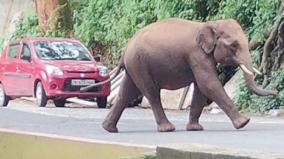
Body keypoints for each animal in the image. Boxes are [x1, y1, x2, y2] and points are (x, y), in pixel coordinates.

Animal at [81, 17, 276, 133]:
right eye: (234, 45)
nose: (275, 92)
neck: (210, 24)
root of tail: (126, 47)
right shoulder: (196, 54)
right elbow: (208, 84)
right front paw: (244, 123)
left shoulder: (202, 57)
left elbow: (201, 88)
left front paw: (195, 129)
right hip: (140, 64)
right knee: (150, 92)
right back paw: (167, 128)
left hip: (134, 65)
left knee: (126, 92)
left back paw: (109, 129)